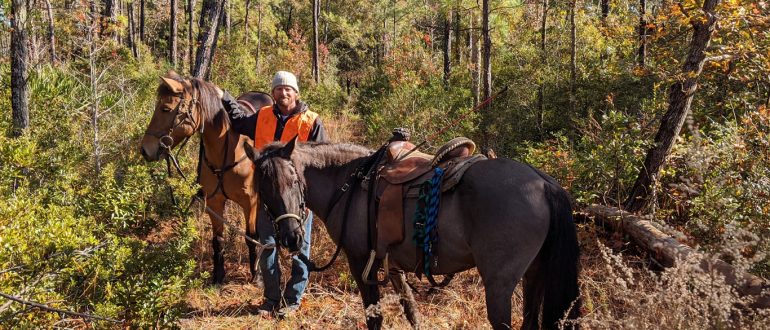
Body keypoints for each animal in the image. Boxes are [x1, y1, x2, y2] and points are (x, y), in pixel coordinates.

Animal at [141, 71, 272, 284]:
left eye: (165, 108)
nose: (145, 149)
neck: (227, 151)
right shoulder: (214, 202)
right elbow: (218, 240)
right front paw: (218, 276)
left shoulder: (249, 202)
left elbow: (251, 237)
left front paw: (257, 275)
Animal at [243, 138, 580, 328]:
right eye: (263, 188)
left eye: (293, 180)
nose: (291, 237)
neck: (349, 182)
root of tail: (542, 181)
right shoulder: (393, 265)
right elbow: (411, 309)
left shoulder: (360, 262)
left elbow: (374, 317)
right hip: (534, 274)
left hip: (499, 284)